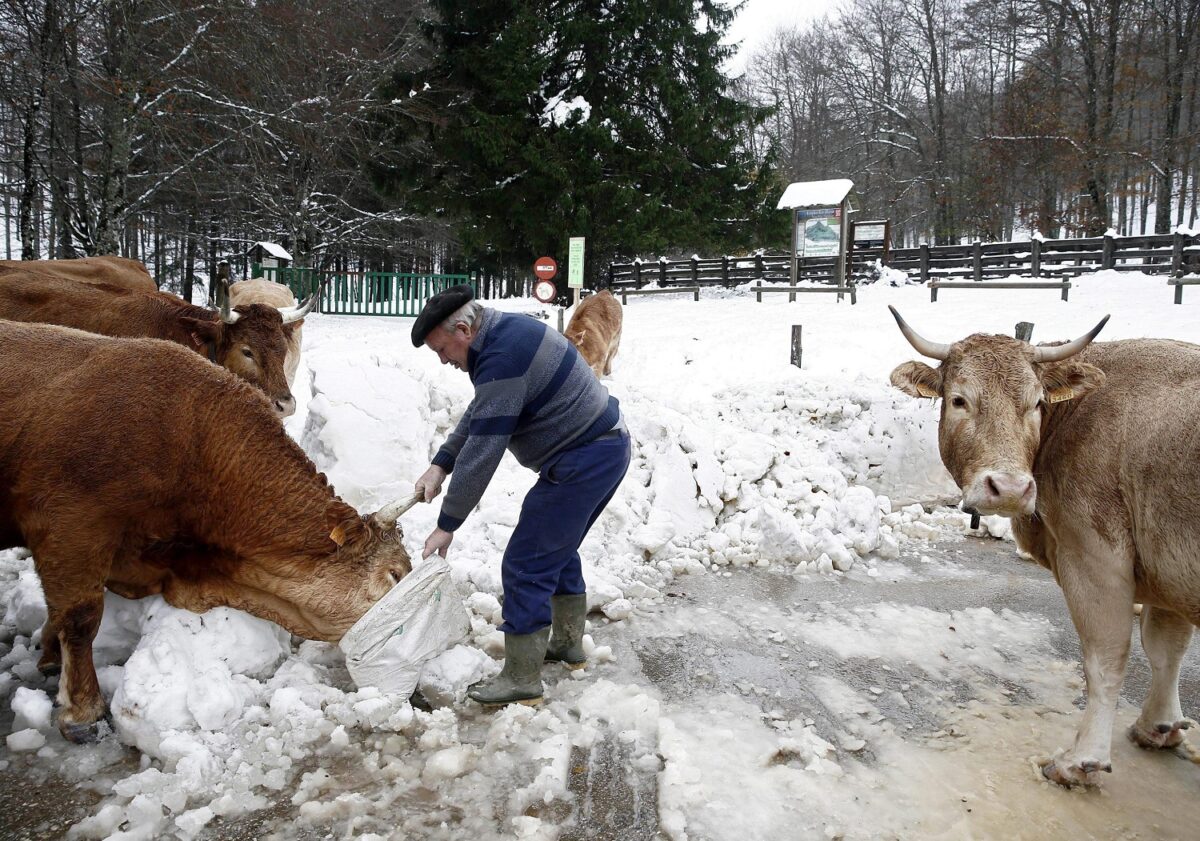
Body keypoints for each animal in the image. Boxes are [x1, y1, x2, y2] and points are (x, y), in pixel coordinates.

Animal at [888, 309, 1195, 787]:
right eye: (959, 400)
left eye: (1036, 403)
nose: (1011, 489)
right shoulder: (1165, 564)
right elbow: (1167, 648)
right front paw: (1158, 725)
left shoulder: (1094, 554)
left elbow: (1107, 656)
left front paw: (1082, 759)